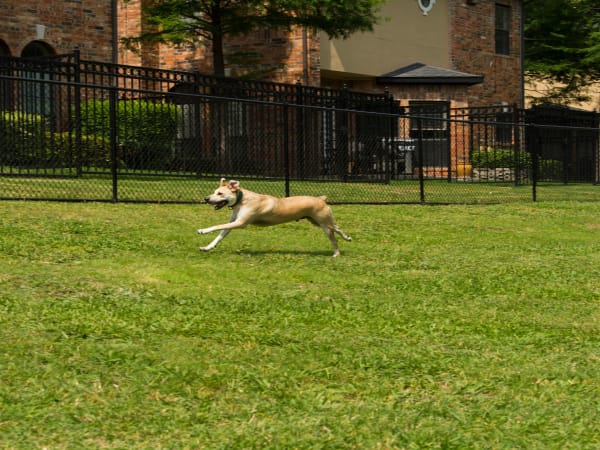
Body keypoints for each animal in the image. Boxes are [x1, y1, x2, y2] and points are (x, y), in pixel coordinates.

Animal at [198, 178, 352, 256]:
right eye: (214, 191)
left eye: (220, 194)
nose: (206, 199)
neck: (242, 200)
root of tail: (321, 199)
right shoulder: (233, 222)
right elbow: (220, 235)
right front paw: (207, 247)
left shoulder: (241, 223)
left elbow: (217, 226)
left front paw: (203, 230)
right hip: (316, 221)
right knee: (337, 228)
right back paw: (347, 238)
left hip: (324, 224)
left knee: (333, 238)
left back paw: (336, 254)